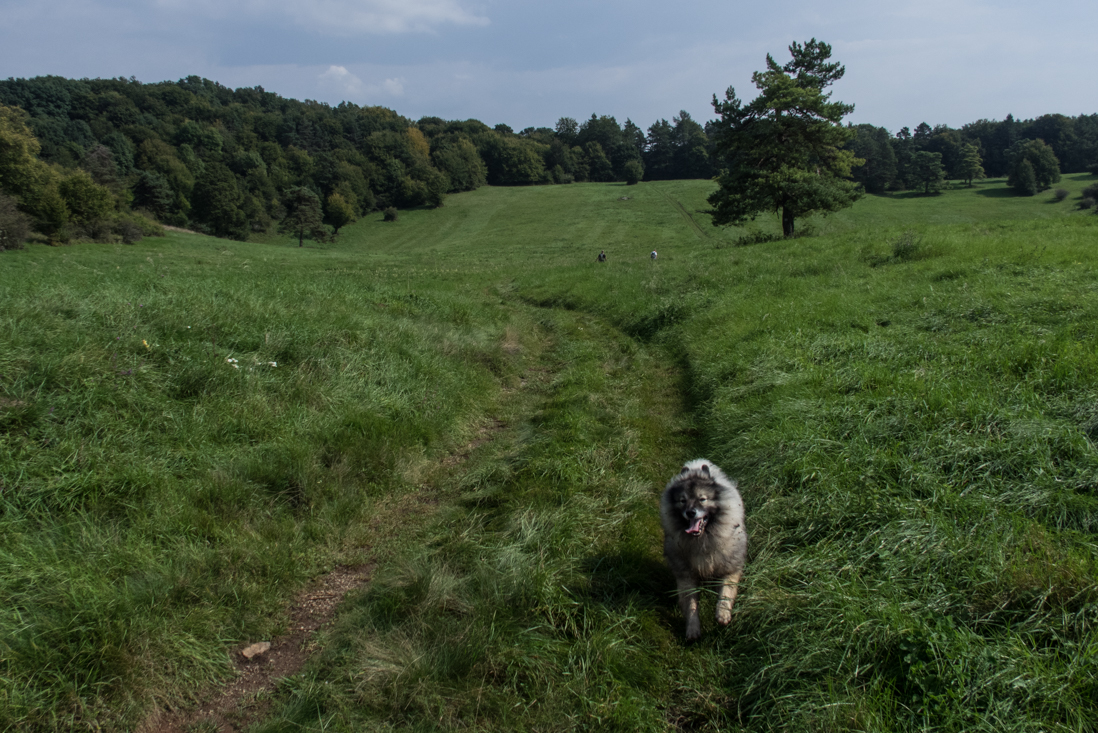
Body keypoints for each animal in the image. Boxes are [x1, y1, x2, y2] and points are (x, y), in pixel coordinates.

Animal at [658, 460, 746, 636]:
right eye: (682, 500)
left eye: (702, 499)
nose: (691, 512)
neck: (702, 540)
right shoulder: (686, 575)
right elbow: (691, 603)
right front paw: (692, 629)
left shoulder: (730, 567)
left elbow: (726, 592)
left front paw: (723, 615)